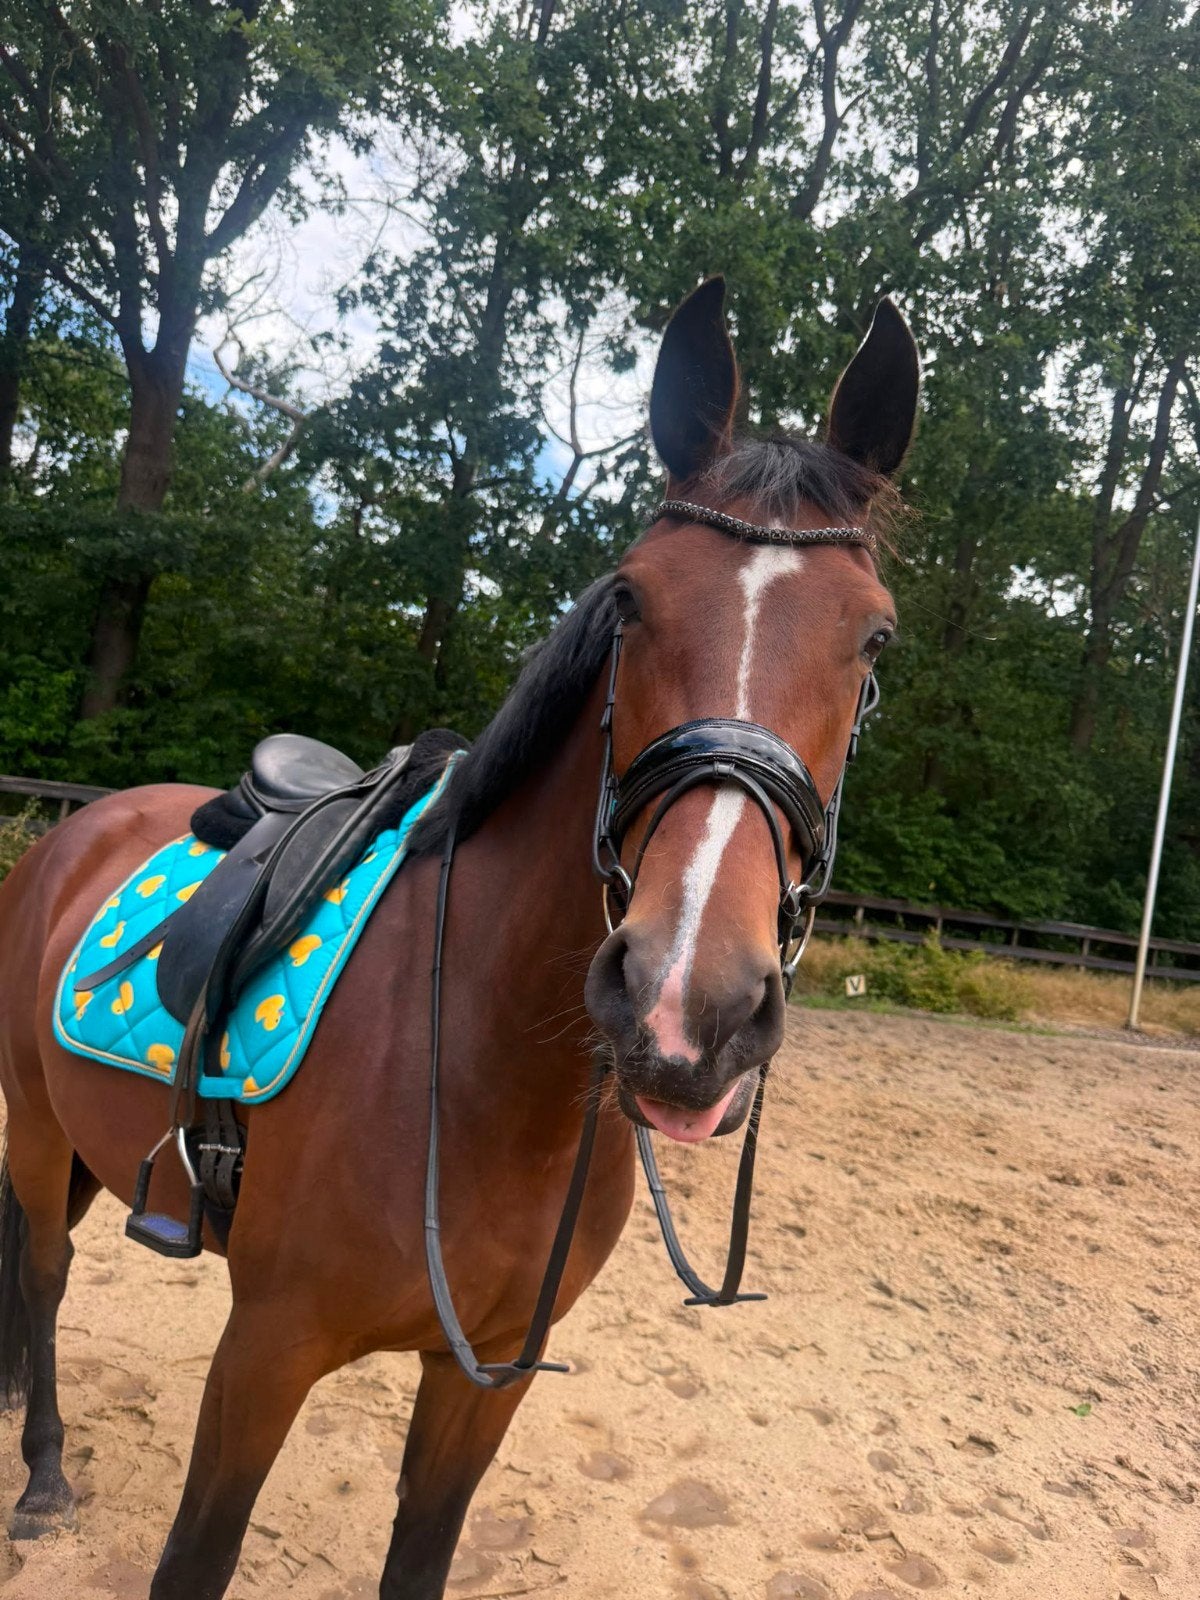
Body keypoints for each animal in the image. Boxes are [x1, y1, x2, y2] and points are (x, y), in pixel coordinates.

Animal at [0, 276, 918, 1599]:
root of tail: (76, 828)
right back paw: (41, 1470)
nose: (685, 1003)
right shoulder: (263, 1350)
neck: (481, 1071)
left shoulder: (485, 1380)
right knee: (44, 1269)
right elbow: (196, 1558)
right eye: (631, 598)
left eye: (875, 640)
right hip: (32, 1121)